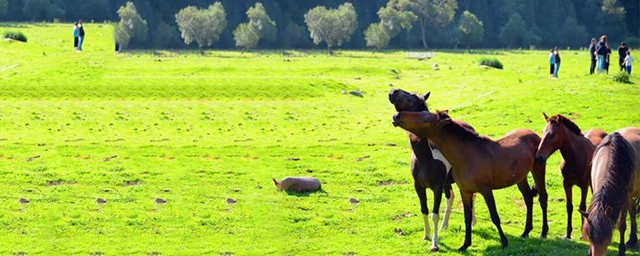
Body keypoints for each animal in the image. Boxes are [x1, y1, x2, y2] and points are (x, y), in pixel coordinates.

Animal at [388, 88, 472, 252]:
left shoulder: (437, 187)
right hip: (447, 182)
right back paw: (444, 226)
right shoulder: (419, 187)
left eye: (414, 97)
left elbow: (434, 213)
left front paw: (435, 244)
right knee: (450, 196)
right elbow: (425, 210)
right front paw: (426, 236)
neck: (425, 156)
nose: (393, 91)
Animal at [390, 109, 552, 251]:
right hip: (521, 178)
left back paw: (544, 232)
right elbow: (467, 218)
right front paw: (465, 245)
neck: (466, 155)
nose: (396, 116)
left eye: (426, 119)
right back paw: (525, 232)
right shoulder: (465, 191)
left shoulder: (486, 191)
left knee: (542, 198)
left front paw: (504, 242)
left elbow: (494, 216)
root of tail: (534, 135)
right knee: (528, 198)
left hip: (538, 171)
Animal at [580, 128, 640, 256]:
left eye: (607, 238)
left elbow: (621, 225)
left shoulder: (624, 199)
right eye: (590, 237)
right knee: (633, 211)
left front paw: (621, 250)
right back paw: (632, 239)